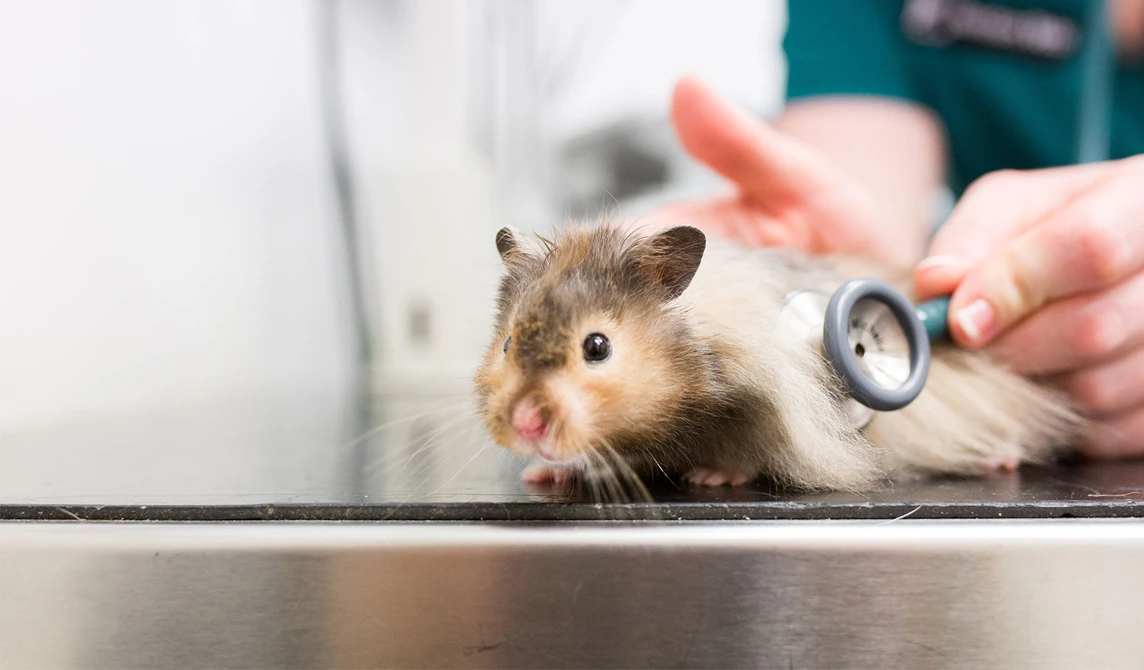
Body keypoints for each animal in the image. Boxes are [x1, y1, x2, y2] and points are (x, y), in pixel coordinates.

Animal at [472, 221, 1084, 491]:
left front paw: (711, 478)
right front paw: (544, 475)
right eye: (507, 344)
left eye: (596, 347)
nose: (524, 425)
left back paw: (1001, 459)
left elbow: (748, 450)